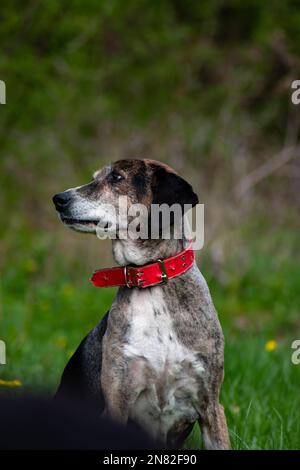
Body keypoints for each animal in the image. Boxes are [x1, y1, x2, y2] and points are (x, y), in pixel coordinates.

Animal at [52, 158, 230, 448]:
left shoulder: (211, 406)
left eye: (116, 177)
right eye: (95, 177)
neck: (149, 279)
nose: (58, 199)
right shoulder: (118, 400)